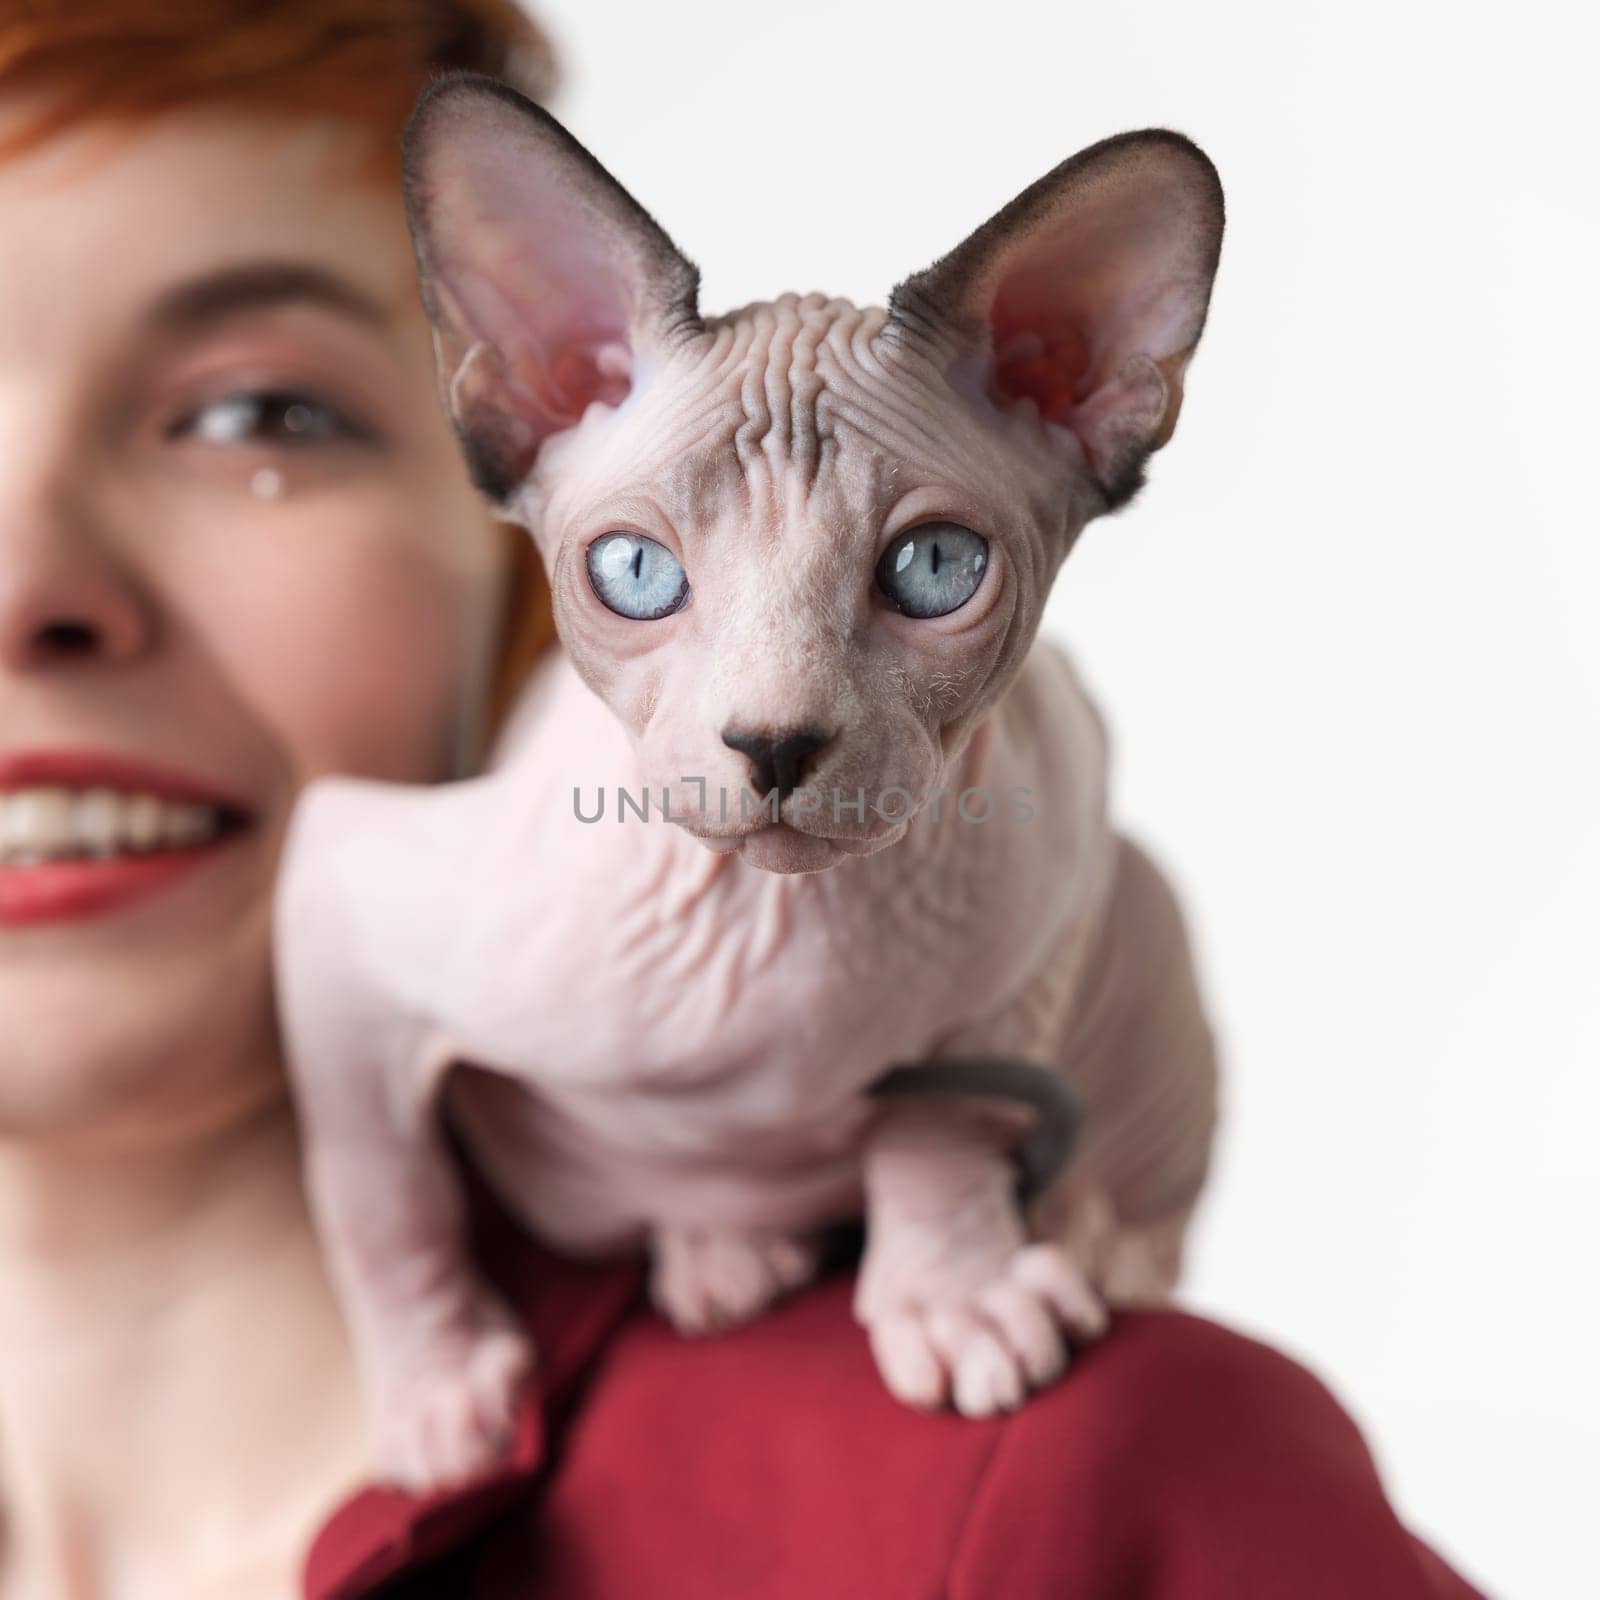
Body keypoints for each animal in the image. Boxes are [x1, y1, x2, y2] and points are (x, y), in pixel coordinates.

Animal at [275, 68, 1222, 1491]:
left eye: (934, 568)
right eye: (634, 573)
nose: (773, 744)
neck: (782, 932)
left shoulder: (1052, 882)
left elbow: (940, 1126)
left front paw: (954, 1296)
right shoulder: (337, 895)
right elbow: (385, 1201)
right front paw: (440, 1397)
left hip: (1145, 920)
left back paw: (1089, 1246)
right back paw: (725, 1253)